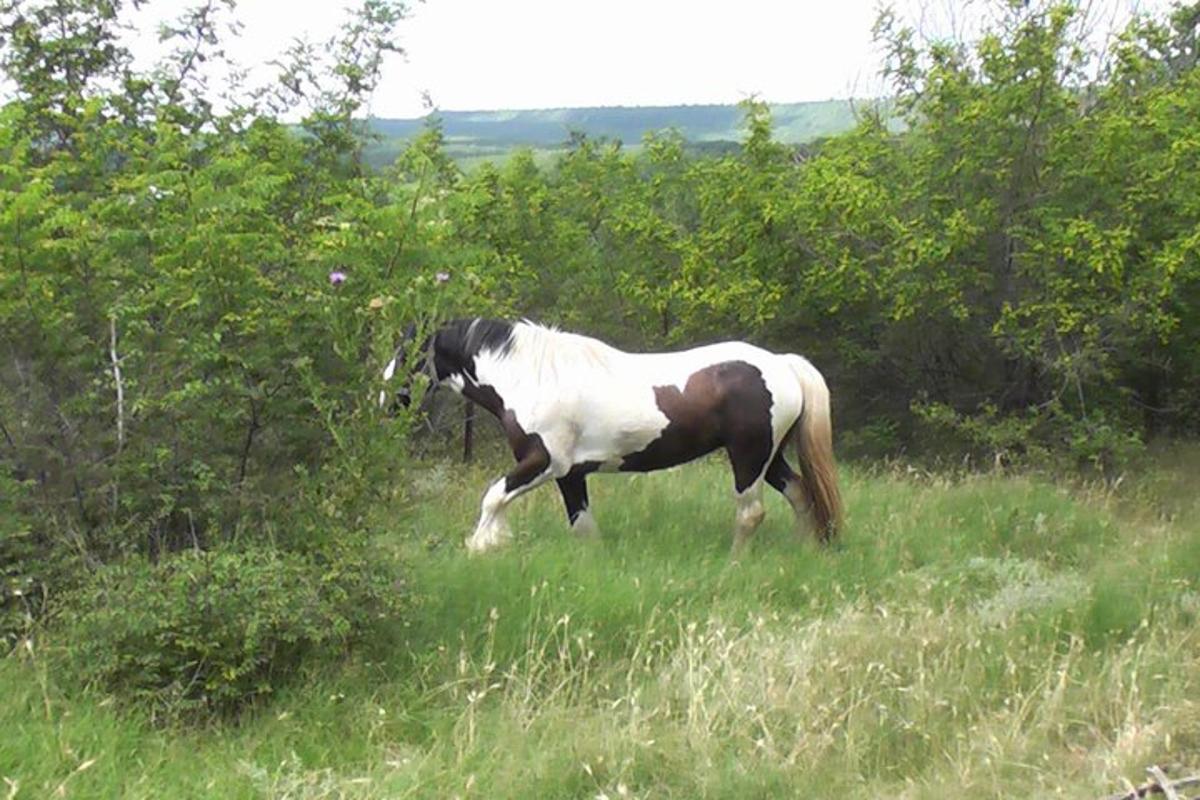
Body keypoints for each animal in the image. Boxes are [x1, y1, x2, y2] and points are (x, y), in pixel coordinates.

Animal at [384, 316, 844, 554]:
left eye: (406, 353)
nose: (384, 401)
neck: (531, 377)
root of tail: (783, 364)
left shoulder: (543, 463)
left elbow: (493, 497)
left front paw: (482, 546)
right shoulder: (571, 475)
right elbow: (583, 528)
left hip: (748, 458)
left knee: (752, 513)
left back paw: (735, 563)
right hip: (769, 457)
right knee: (801, 494)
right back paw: (806, 550)